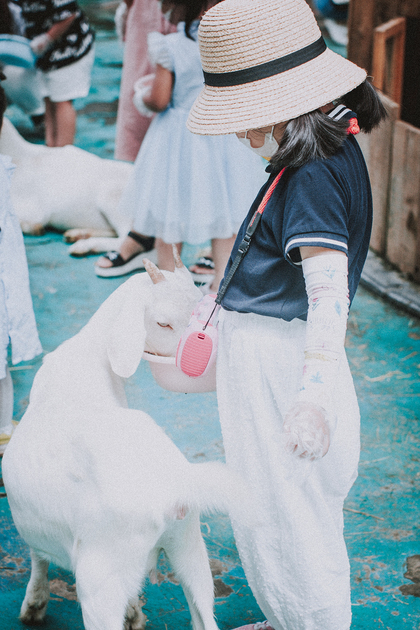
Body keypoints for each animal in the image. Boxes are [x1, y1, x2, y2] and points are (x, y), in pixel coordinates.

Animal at [0, 117, 139, 257]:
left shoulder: (34, 210)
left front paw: (34, 228)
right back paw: (78, 234)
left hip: (112, 197)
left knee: (127, 239)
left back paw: (84, 246)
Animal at [2, 249, 251, 630]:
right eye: (163, 323)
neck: (88, 358)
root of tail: (176, 482)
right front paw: (134, 611)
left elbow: (38, 555)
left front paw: (34, 604)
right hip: (188, 544)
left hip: (99, 577)